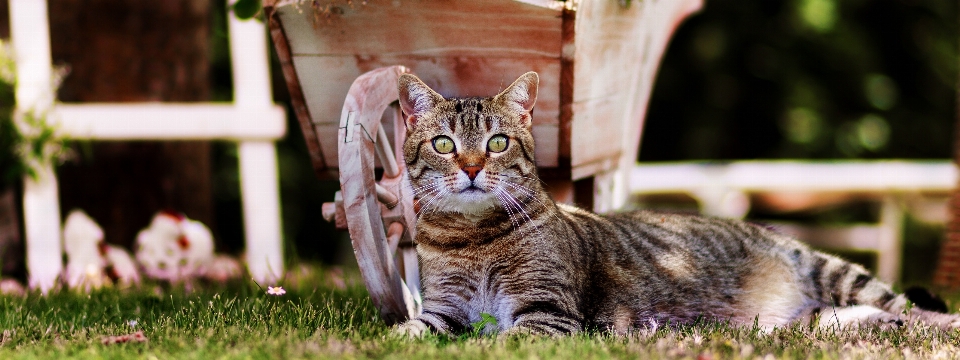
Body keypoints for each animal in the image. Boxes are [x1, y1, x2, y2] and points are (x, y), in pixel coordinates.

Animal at [392, 71, 960, 336]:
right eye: (443, 144)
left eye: (497, 143)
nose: (471, 168)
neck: (474, 238)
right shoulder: (443, 310)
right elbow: (410, 331)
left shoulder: (545, 313)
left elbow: (499, 340)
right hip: (815, 319)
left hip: (835, 271)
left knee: (913, 309)